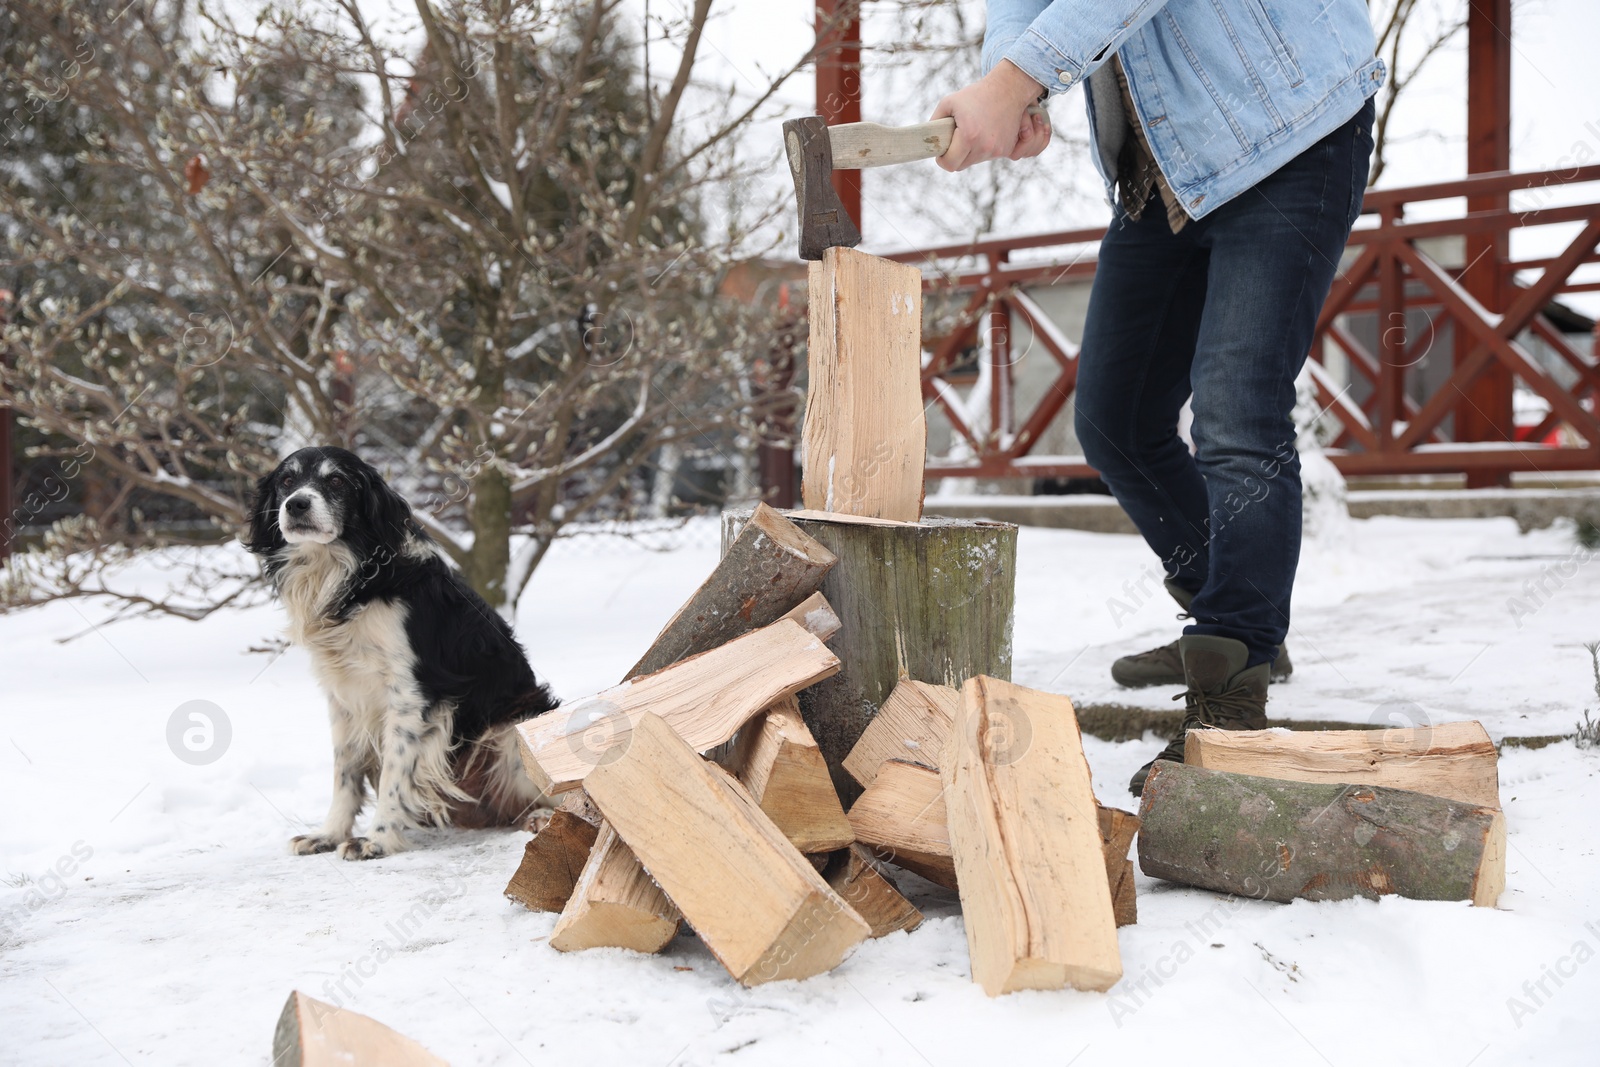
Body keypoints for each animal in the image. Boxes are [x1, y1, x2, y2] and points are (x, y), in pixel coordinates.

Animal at [243, 447, 556, 863]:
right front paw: (328, 834)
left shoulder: (412, 695)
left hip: (515, 726)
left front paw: (376, 839)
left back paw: (542, 817)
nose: (295, 505)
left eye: (337, 481)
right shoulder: (343, 697)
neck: (353, 576)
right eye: (287, 481)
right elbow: (344, 773)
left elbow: (395, 771)